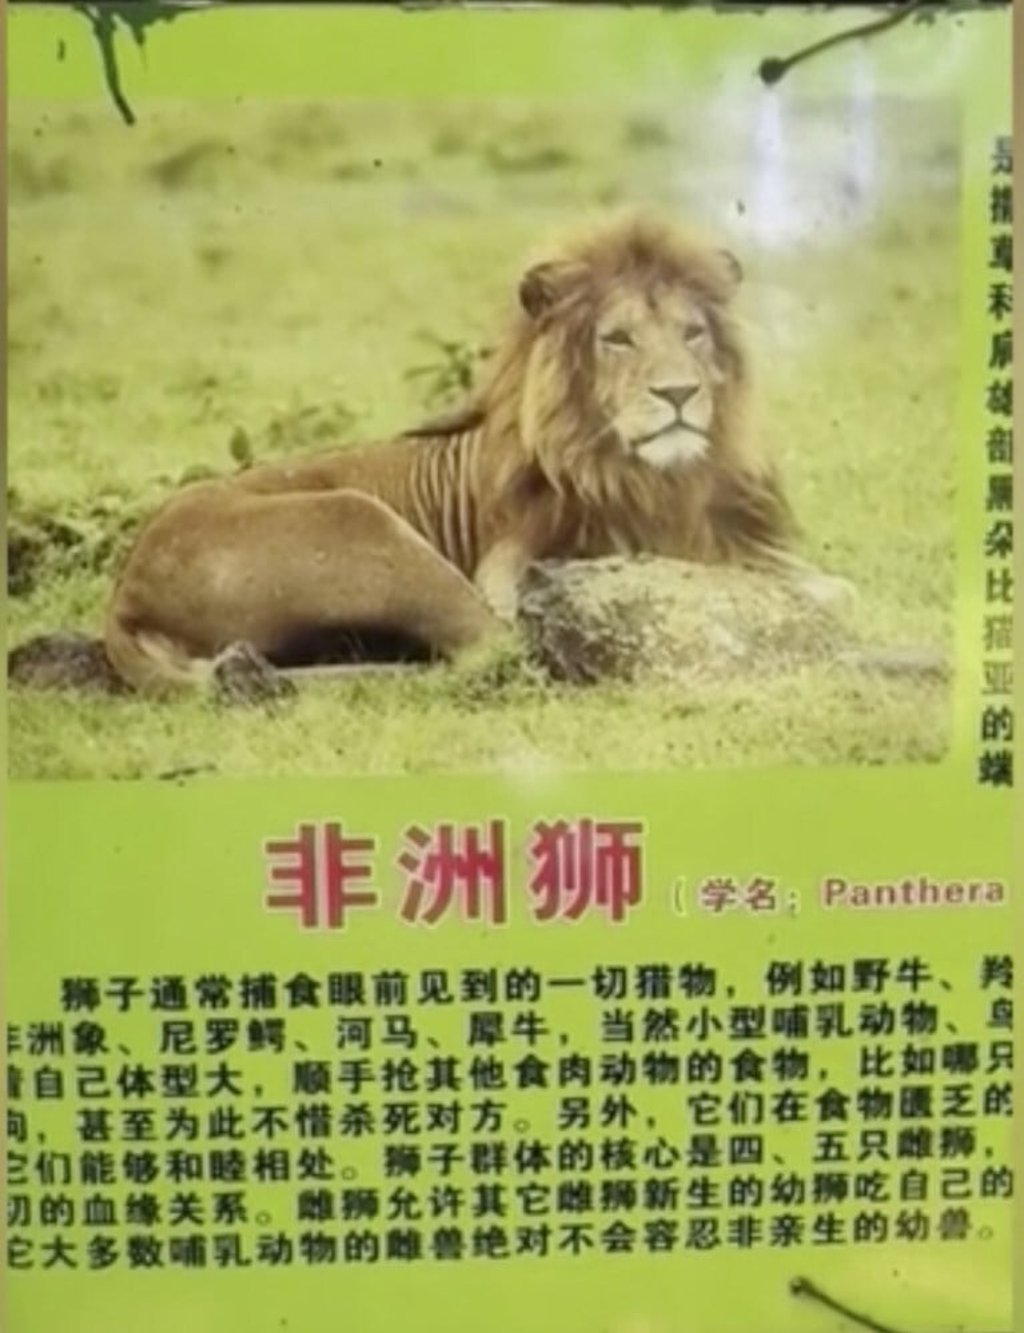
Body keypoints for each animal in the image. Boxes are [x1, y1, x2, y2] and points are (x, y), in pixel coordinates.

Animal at [9, 212, 848, 701]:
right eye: (617, 338)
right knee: (496, 654)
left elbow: (833, 588)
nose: (678, 393)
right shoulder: (511, 570)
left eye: (693, 332)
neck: (657, 478)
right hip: (361, 522)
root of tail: (125, 586)